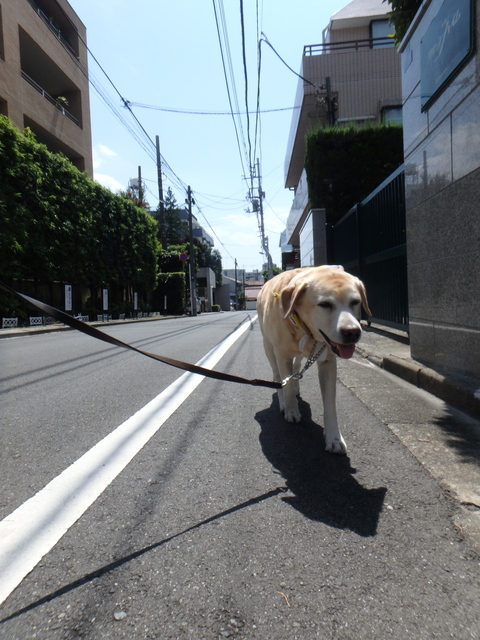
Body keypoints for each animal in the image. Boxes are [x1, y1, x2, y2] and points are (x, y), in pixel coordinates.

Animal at [258, 266, 372, 456]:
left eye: (355, 302)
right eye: (325, 304)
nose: (352, 332)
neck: (305, 330)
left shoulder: (328, 362)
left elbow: (330, 403)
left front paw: (334, 437)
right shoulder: (282, 355)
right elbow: (286, 386)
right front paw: (291, 410)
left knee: (296, 367)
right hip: (268, 346)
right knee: (278, 376)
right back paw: (283, 400)